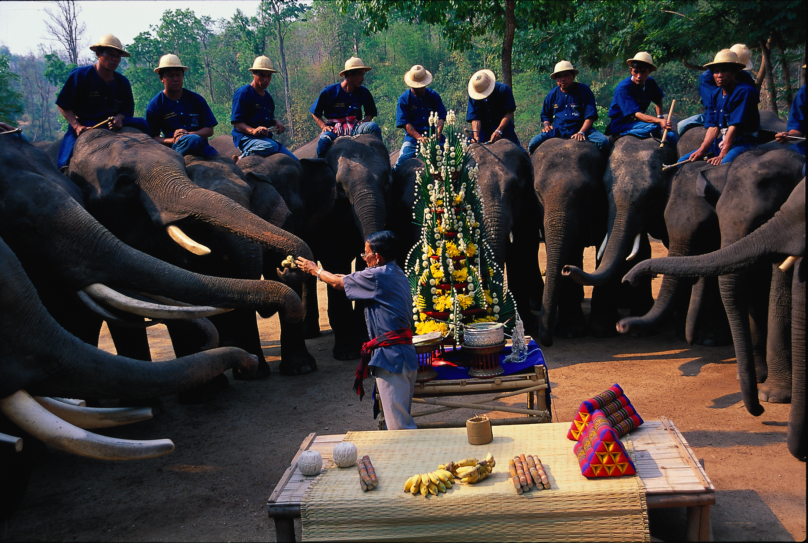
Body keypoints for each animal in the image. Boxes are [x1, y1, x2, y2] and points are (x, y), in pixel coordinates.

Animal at [532, 138, 608, 346]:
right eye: (537, 192)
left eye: (586, 192)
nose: (548, 342)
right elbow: (570, 250)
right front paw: (571, 333)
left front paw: (600, 331)